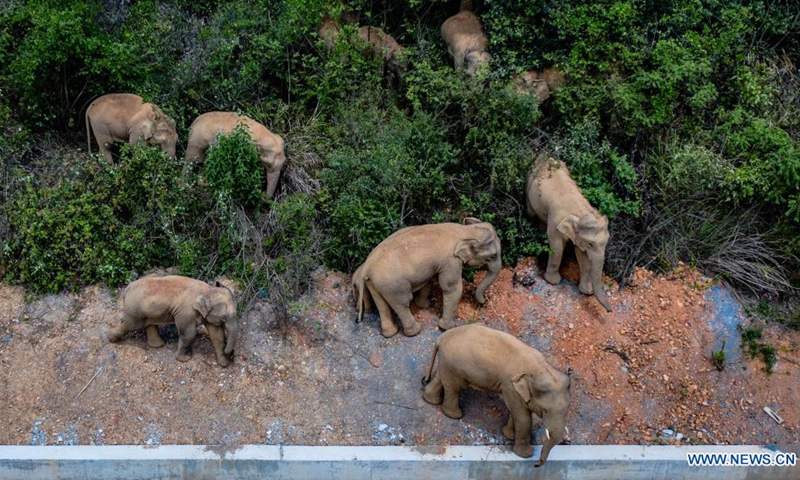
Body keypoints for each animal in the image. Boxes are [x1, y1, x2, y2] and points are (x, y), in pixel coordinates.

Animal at [107, 275, 238, 367]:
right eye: (224, 318)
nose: (231, 355)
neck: (207, 290)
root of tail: (126, 289)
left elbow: (217, 334)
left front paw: (223, 363)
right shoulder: (186, 313)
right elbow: (189, 334)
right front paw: (185, 359)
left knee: (148, 324)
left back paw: (159, 345)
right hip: (134, 310)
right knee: (130, 325)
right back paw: (111, 338)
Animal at [352, 218, 501, 337]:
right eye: (493, 255)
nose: (483, 302)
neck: (465, 230)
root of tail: (367, 267)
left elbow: (429, 280)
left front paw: (424, 305)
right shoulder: (451, 260)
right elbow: (451, 288)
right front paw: (448, 328)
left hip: (375, 283)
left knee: (382, 304)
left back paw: (390, 333)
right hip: (393, 285)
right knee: (402, 303)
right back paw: (415, 331)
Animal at [422, 323, 571, 466]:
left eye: (567, 410)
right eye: (545, 411)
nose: (536, 464)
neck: (541, 369)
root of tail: (441, 337)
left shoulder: (513, 390)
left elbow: (514, 412)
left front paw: (509, 436)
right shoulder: (510, 386)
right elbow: (523, 418)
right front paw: (525, 454)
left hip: (447, 362)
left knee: (442, 378)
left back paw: (430, 400)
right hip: (455, 364)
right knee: (454, 387)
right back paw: (455, 415)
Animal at [526, 153, 612, 312]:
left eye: (606, 242)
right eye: (590, 244)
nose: (610, 310)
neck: (580, 211)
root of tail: (544, 155)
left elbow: (581, 255)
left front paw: (586, 291)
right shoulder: (555, 221)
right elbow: (557, 246)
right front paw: (553, 282)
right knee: (531, 213)